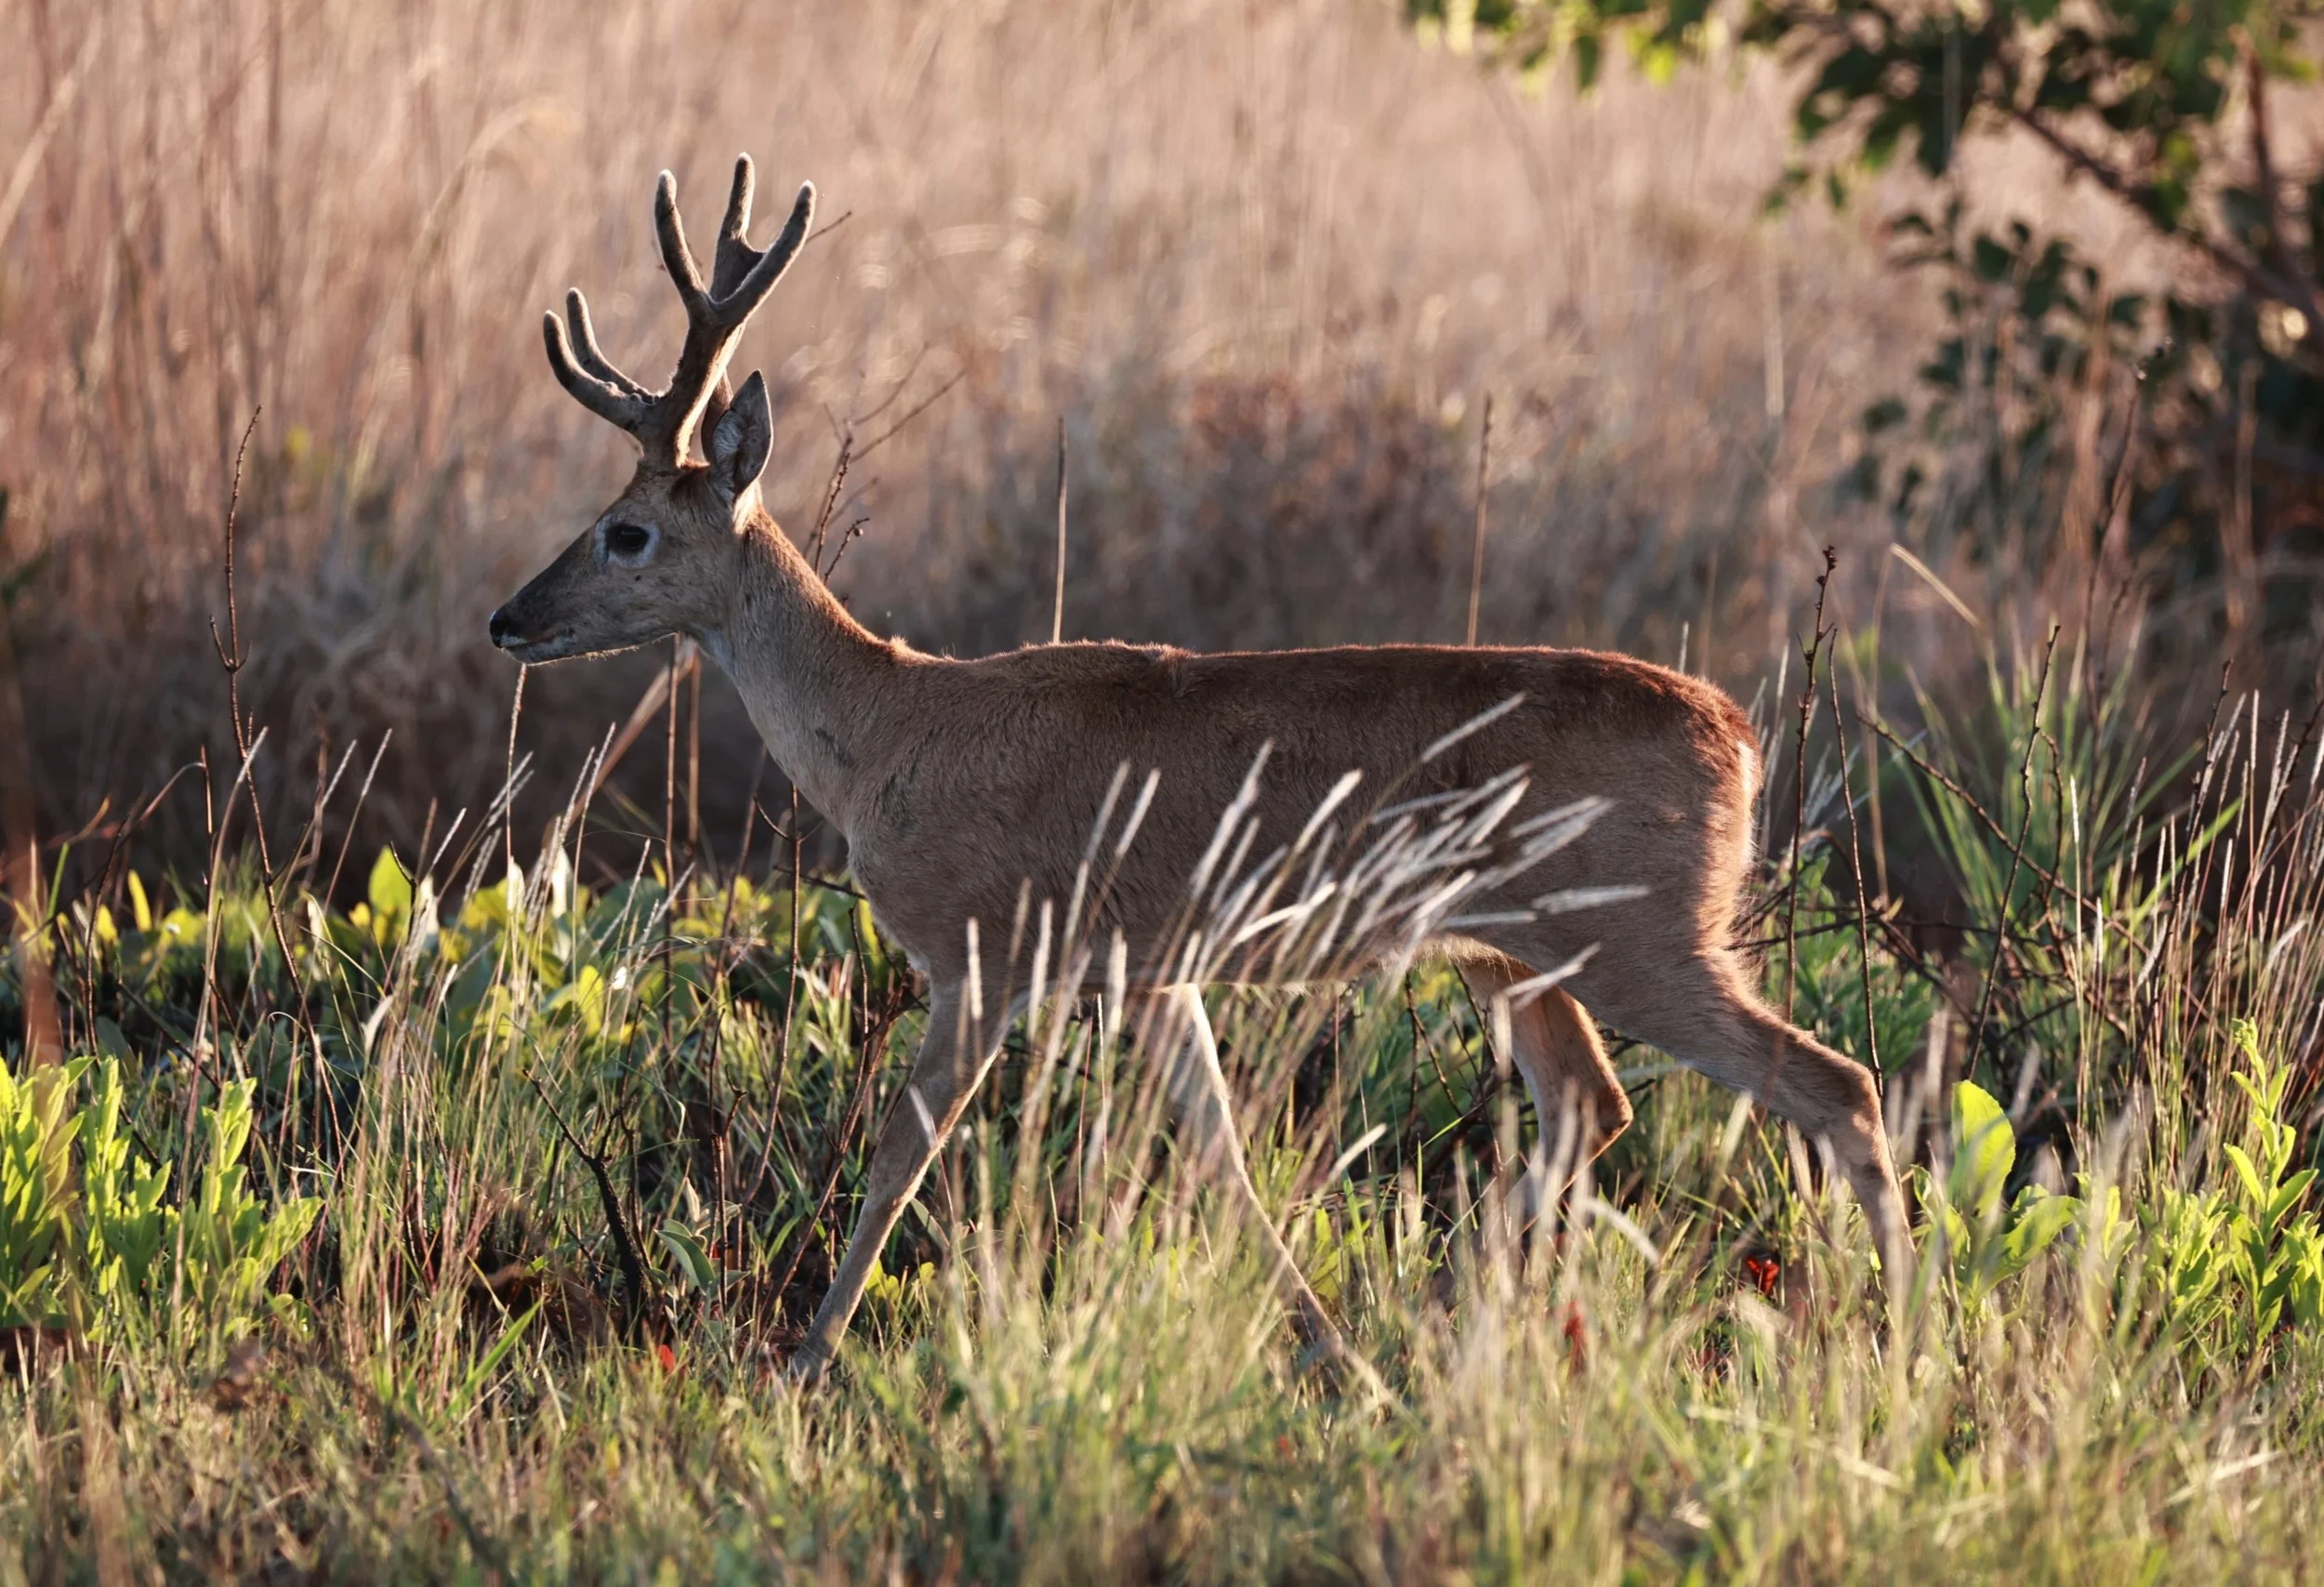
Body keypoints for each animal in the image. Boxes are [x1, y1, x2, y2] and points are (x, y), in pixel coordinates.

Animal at [489, 155, 1911, 1382]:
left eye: (625, 532)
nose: (508, 617)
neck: (887, 728)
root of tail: (1741, 737)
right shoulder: (1153, 966)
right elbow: (1221, 1155)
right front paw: (1335, 1354)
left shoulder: (982, 943)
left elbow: (904, 1151)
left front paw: (803, 1362)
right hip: (1511, 949)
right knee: (1591, 1102)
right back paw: (1460, 1330)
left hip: (1639, 929)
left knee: (1835, 1082)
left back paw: (1905, 1344)